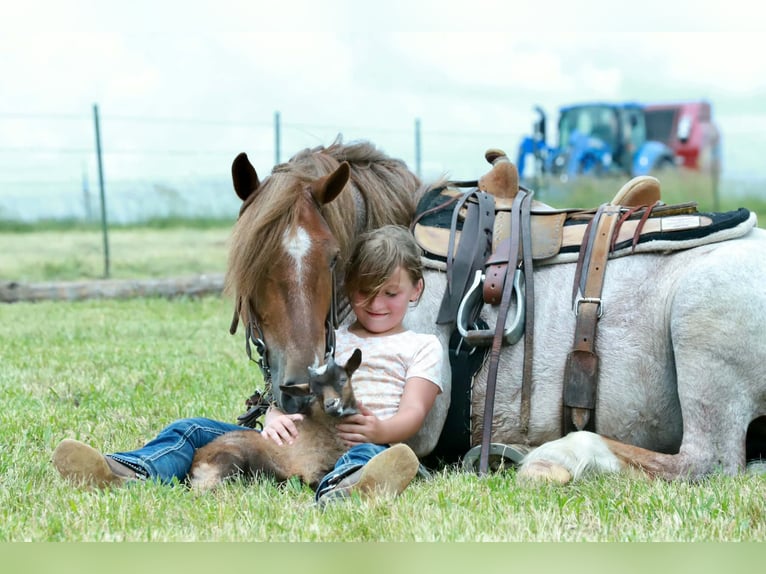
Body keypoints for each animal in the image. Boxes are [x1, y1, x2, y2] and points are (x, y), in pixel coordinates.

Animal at [189, 349, 362, 491]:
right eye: (313, 392)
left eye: (342, 379)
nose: (331, 404)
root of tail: (196, 462)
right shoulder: (310, 468)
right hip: (228, 462)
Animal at [225, 138, 766, 483]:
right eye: (251, 261)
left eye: (334, 256)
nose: (298, 387)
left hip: (700, 327)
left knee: (707, 462)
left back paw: (557, 456)